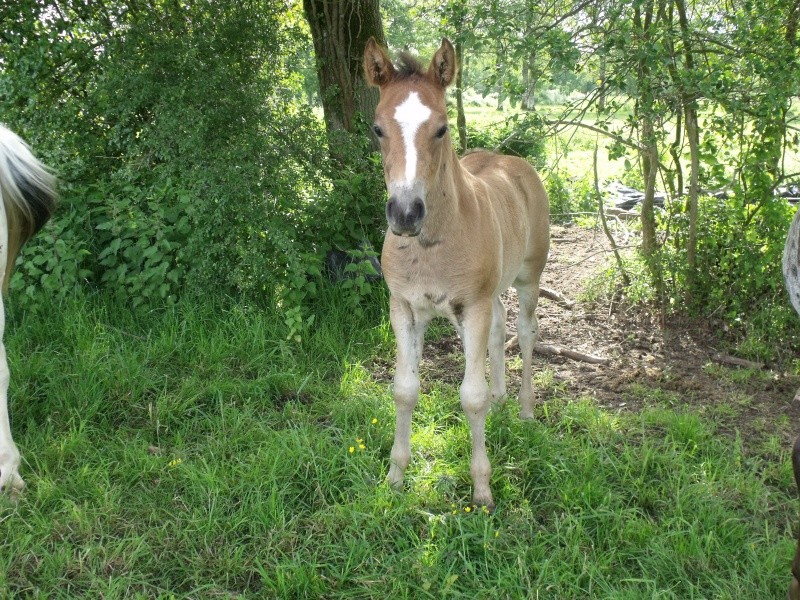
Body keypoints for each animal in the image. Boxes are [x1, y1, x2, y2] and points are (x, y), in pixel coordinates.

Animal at [364, 38, 548, 506]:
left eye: (442, 128)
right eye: (377, 129)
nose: (405, 213)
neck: (432, 246)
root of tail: (513, 162)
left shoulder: (472, 308)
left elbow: (471, 396)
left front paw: (482, 488)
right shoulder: (404, 308)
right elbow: (404, 390)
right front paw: (395, 477)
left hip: (529, 277)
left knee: (525, 333)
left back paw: (524, 410)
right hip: (493, 291)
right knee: (502, 327)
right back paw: (503, 400)